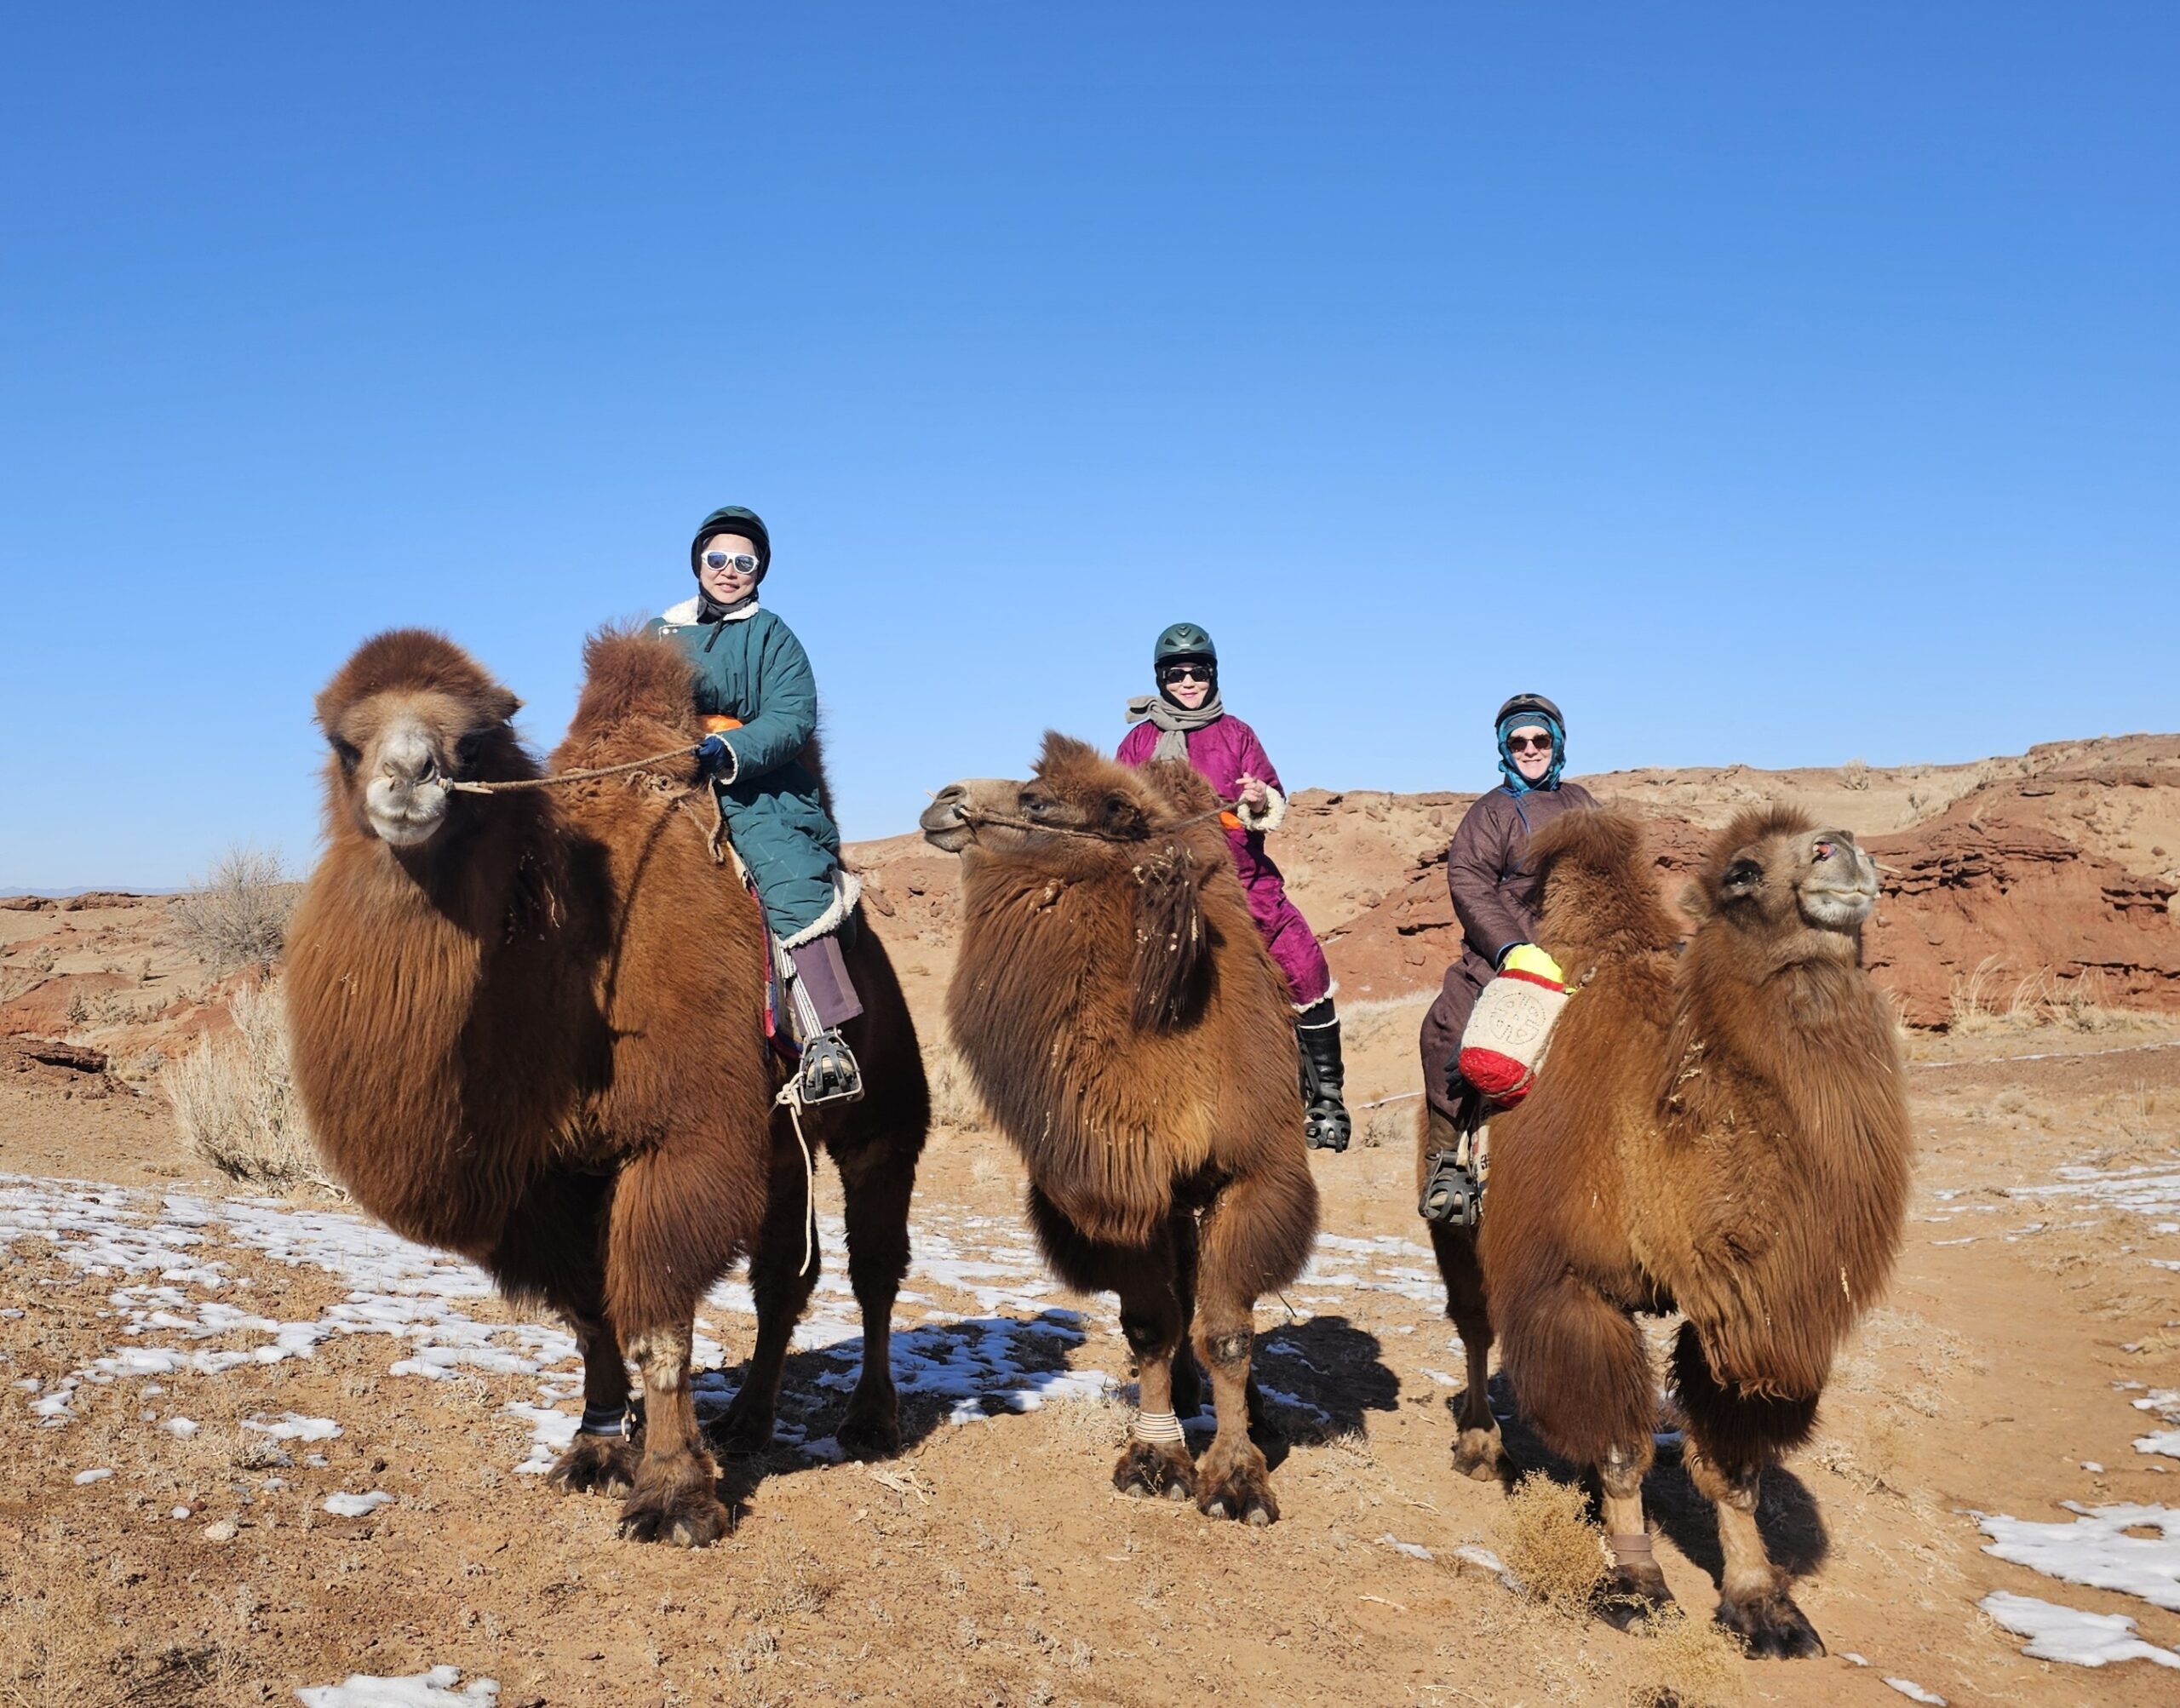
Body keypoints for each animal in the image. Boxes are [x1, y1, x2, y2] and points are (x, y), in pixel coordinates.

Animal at [285, 627, 928, 1547]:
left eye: (472, 742)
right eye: (345, 742)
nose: (408, 778)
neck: (564, 976)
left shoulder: (680, 1142)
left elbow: (657, 1321)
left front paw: (672, 1495)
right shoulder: (545, 1176)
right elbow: (590, 1315)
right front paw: (593, 1448)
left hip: (883, 1110)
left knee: (874, 1263)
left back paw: (871, 1418)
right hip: (779, 1145)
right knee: (782, 1278)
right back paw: (749, 1418)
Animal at [919, 735, 1319, 1526]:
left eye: (1038, 800)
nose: (944, 799)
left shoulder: (1251, 1175)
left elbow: (1231, 1333)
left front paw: (1237, 1479)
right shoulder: (1120, 1191)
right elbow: (1152, 1325)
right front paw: (1156, 1457)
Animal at [1425, 805, 1910, 1656]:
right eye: (1742, 872)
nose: (1842, 852)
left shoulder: (1741, 1313)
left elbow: (1734, 1464)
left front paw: (1763, 1605)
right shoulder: (1574, 1283)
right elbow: (1622, 1449)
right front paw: (1635, 1584)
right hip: (1457, 1222)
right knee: (1476, 1324)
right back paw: (1483, 1448)